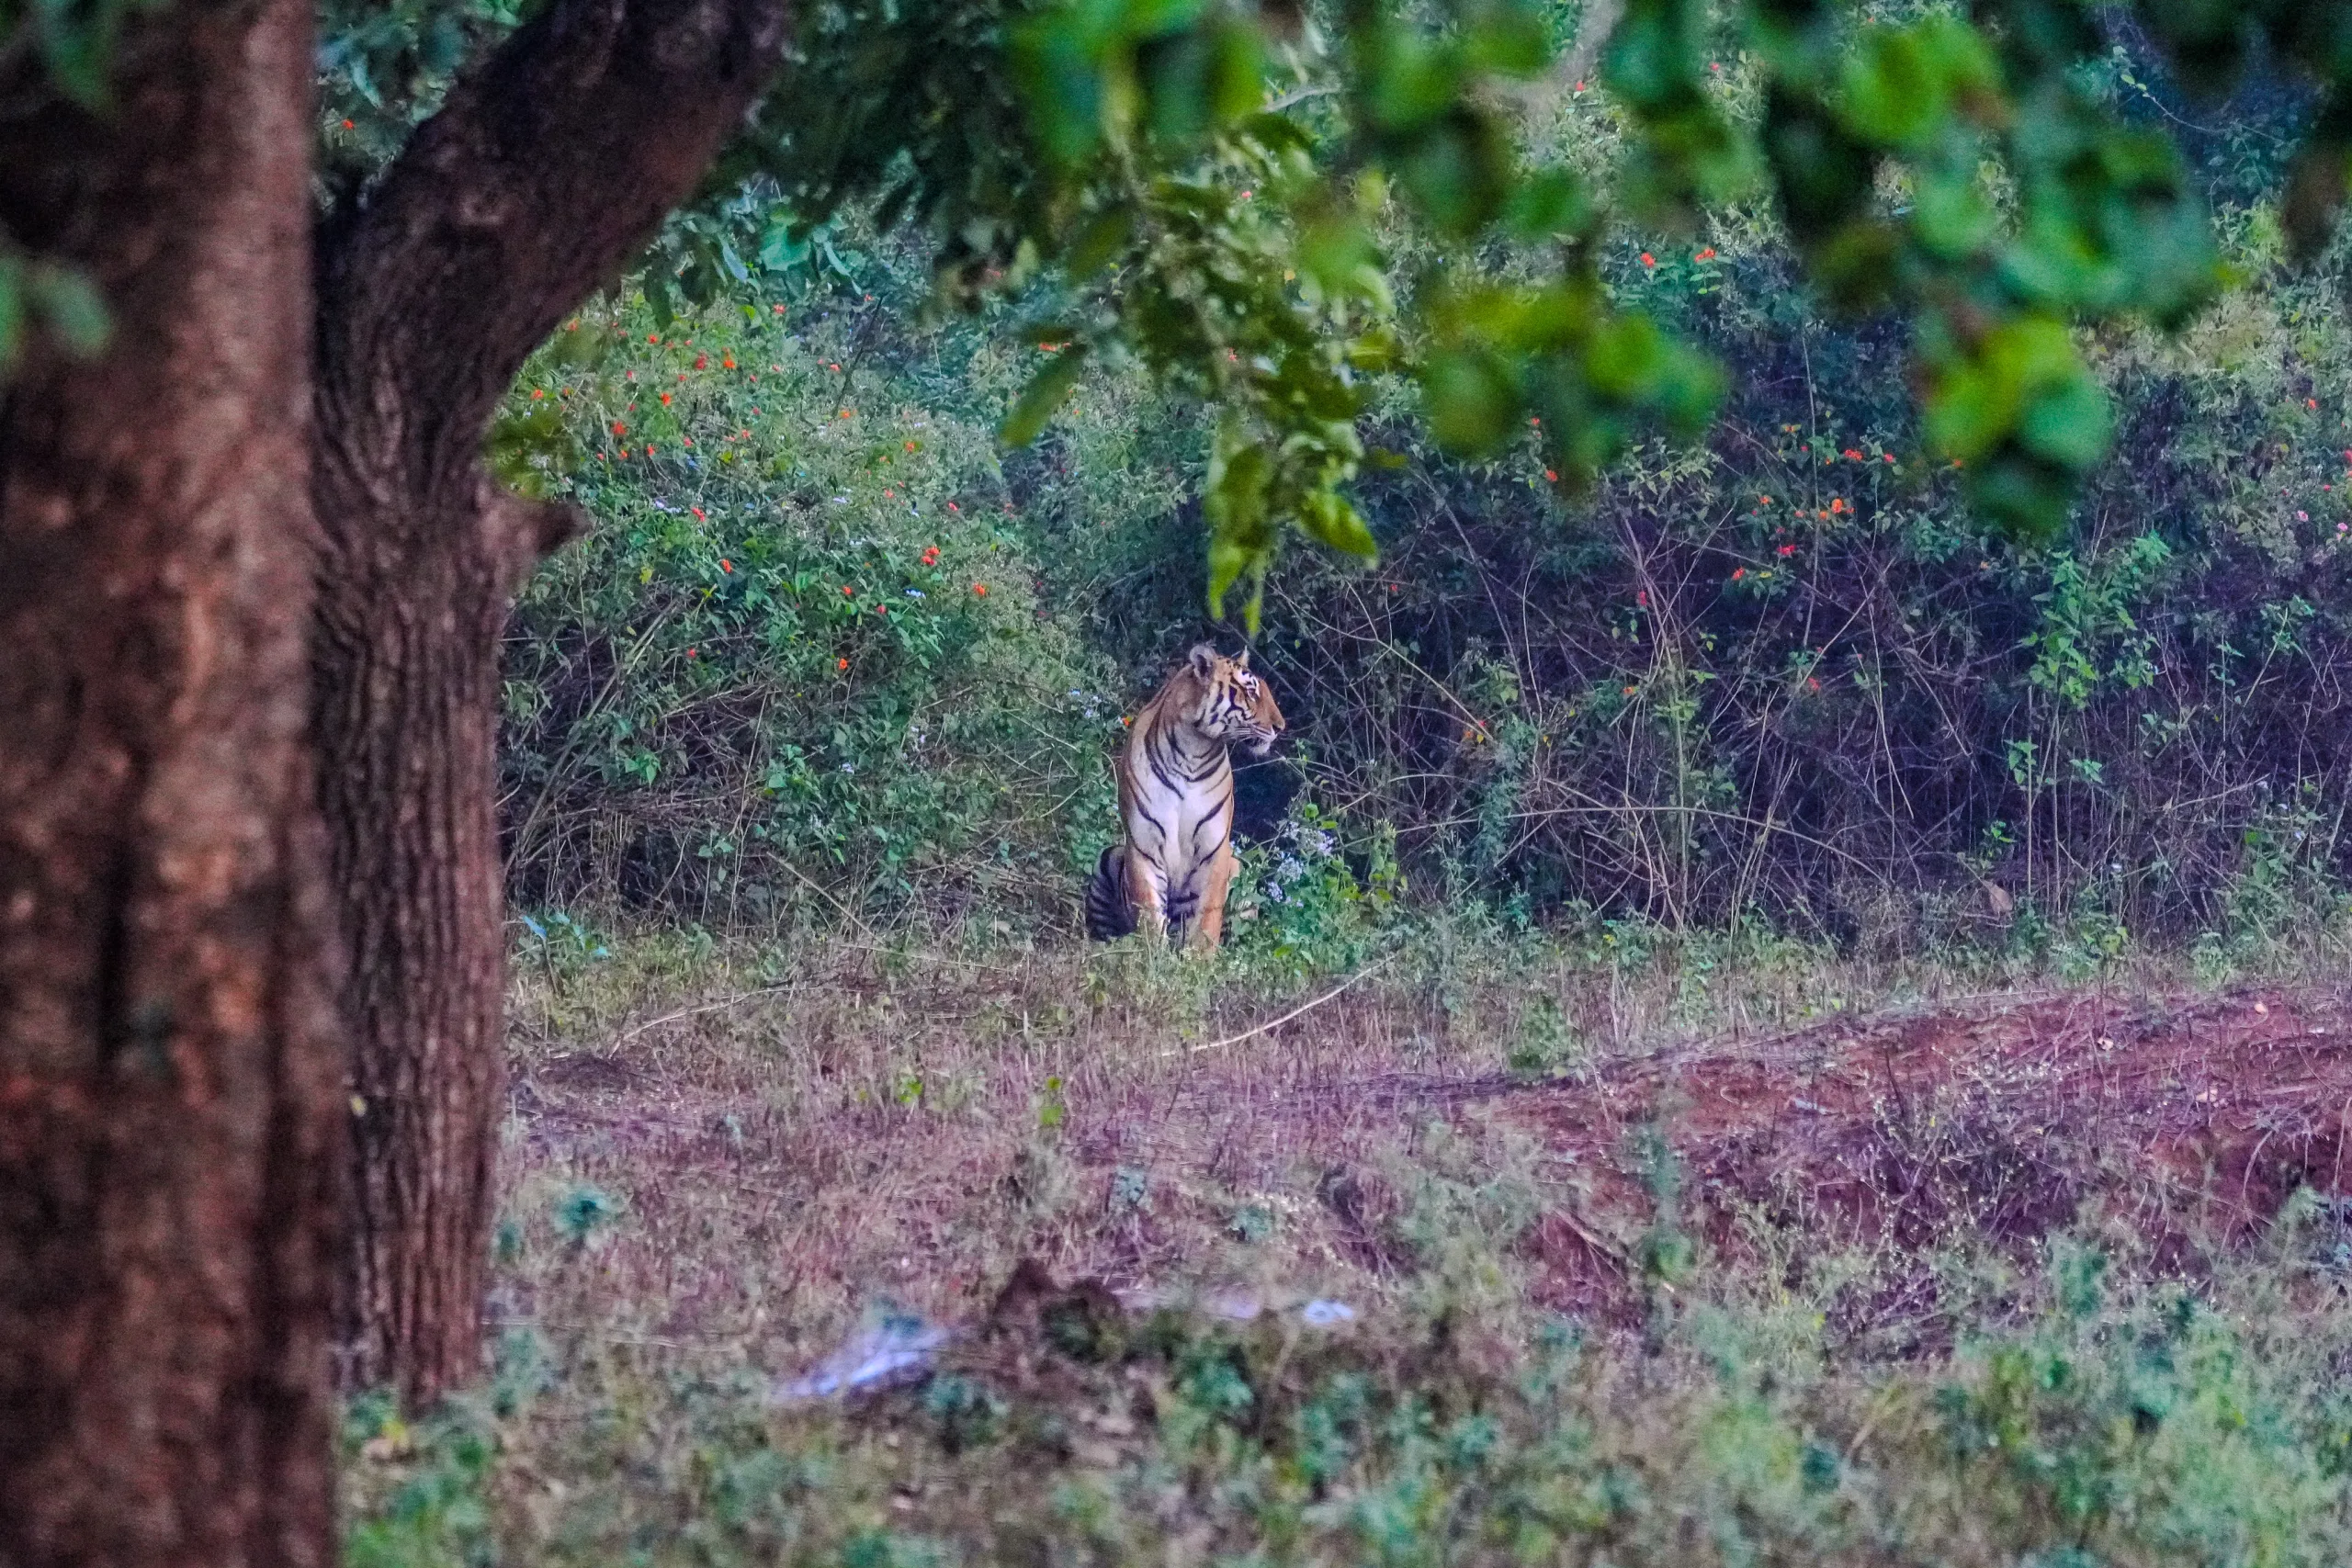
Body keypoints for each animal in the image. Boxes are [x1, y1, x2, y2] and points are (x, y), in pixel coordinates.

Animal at [1084, 644, 1285, 950]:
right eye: (1251, 692)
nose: (1281, 727)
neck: (1193, 750)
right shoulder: (1143, 844)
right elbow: (1149, 909)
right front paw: (1151, 954)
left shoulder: (1215, 848)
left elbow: (1208, 914)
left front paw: (1199, 958)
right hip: (1108, 857)